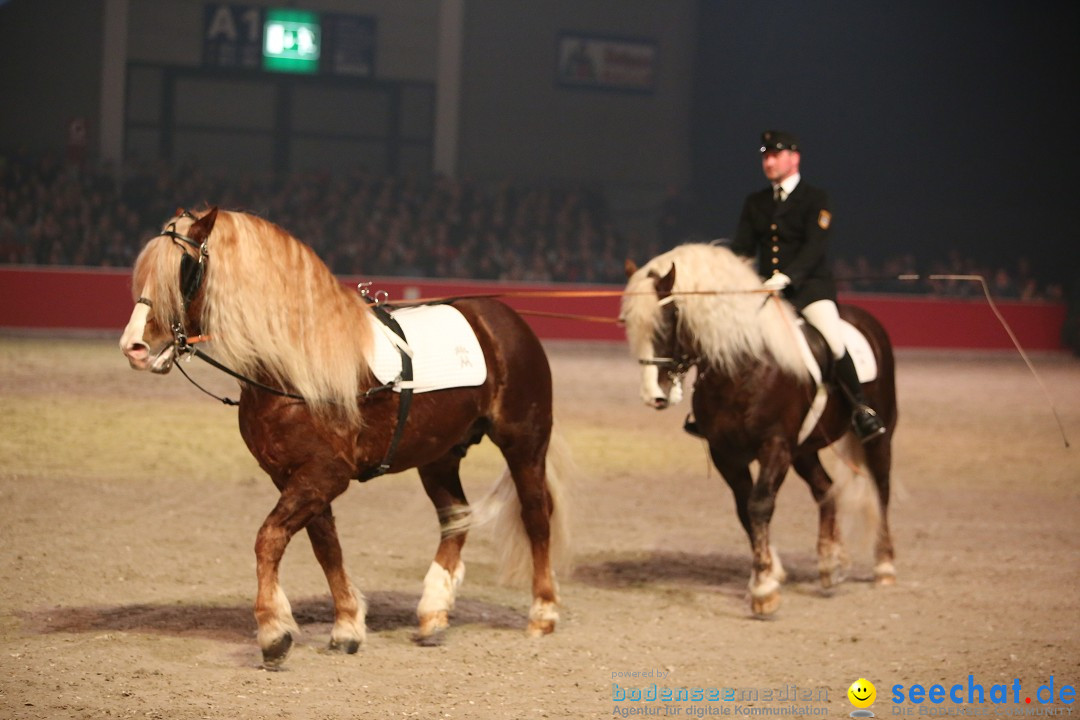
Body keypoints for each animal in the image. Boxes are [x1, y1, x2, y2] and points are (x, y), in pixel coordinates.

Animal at [120, 205, 574, 669]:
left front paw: (274, 631)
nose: (134, 346)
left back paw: (542, 612)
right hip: (439, 454)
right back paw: (433, 612)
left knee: (536, 515)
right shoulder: (295, 477)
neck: (294, 366)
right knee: (455, 517)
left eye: (185, 268)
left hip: (524, 443)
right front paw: (347, 627)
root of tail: (503, 319)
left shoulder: (325, 475)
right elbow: (325, 546)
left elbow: (269, 538)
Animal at [622, 245, 898, 617]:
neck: (742, 370)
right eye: (628, 323)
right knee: (826, 489)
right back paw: (831, 562)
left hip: (879, 435)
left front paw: (764, 589)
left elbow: (759, 505)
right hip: (804, 450)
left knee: (881, 488)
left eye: (669, 318)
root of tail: (865, 319)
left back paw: (884, 565)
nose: (654, 396)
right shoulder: (725, 454)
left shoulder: (775, 446)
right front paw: (767, 573)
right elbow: (744, 509)